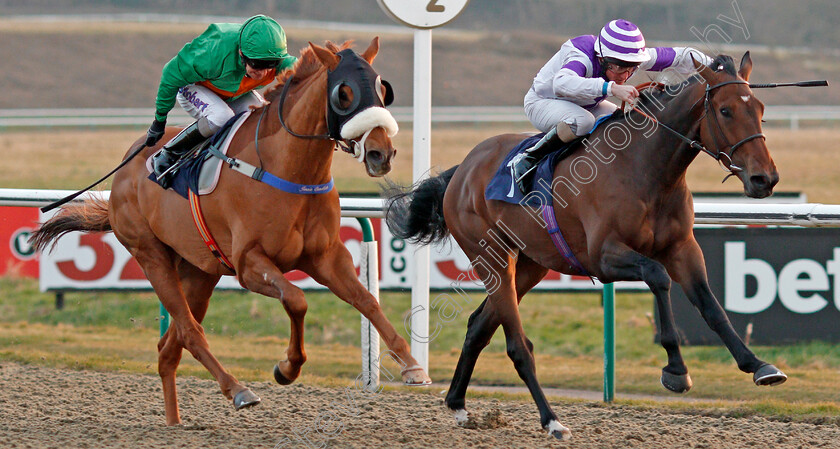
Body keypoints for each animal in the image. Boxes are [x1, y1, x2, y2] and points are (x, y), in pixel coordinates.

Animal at [30, 37, 430, 424]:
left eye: (382, 89)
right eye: (343, 93)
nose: (381, 153)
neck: (288, 168)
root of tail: (124, 172)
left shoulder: (327, 256)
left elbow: (368, 301)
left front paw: (412, 366)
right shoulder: (249, 263)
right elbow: (296, 299)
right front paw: (287, 368)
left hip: (199, 271)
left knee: (169, 347)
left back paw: (175, 423)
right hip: (151, 255)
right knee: (191, 333)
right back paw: (238, 389)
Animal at [388, 54, 788, 440]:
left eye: (760, 109)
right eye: (725, 110)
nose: (764, 179)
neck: (645, 169)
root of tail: (462, 170)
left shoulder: (682, 248)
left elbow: (710, 304)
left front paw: (758, 365)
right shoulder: (603, 257)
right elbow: (658, 276)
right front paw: (676, 369)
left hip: (531, 263)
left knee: (479, 326)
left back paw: (457, 404)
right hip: (491, 257)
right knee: (517, 346)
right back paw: (552, 421)